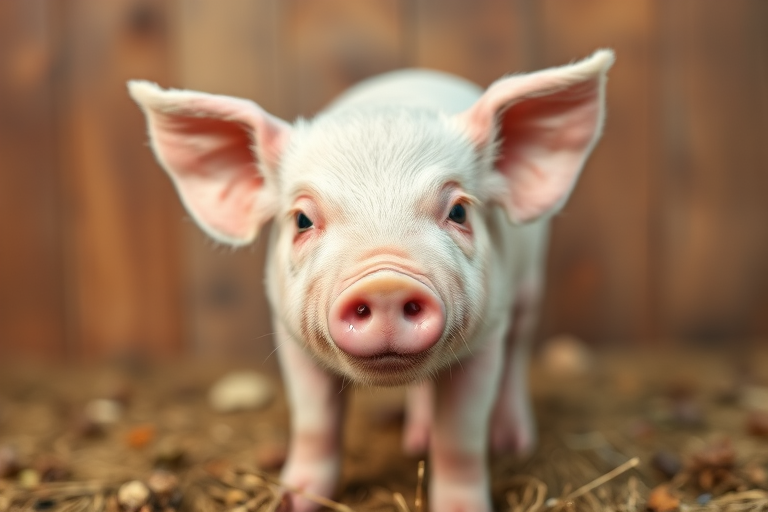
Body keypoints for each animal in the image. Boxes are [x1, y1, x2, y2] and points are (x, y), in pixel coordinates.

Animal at [128, 49, 614, 512]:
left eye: (459, 211)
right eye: (302, 219)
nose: (385, 285)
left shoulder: (487, 335)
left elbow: (460, 439)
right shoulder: (290, 335)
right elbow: (315, 425)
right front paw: (294, 500)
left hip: (529, 288)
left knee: (518, 352)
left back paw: (513, 442)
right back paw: (416, 439)